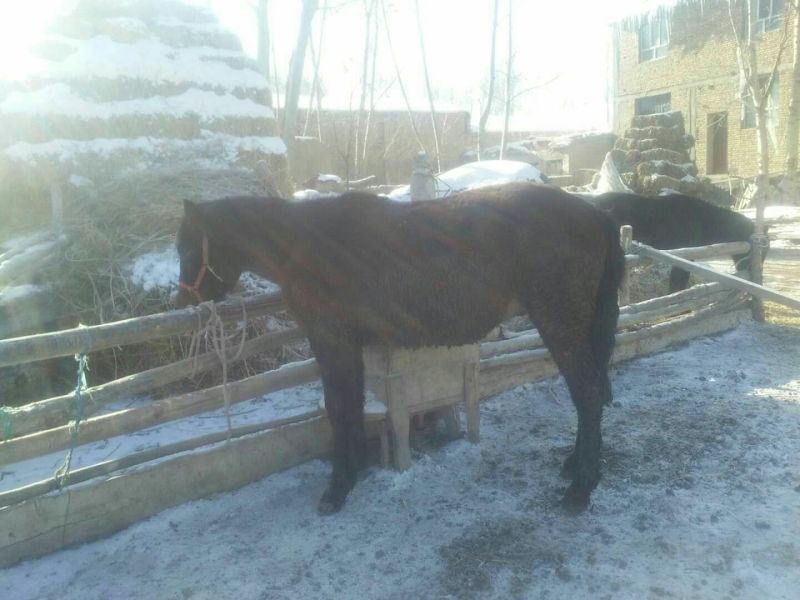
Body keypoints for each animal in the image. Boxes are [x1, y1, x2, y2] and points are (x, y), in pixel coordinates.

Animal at [175, 182, 625, 514]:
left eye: (186, 246)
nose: (181, 302)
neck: (306, 245)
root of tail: (597, 215)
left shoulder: (331, 341)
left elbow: (338, 408)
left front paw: (337, 488)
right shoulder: (350, 346)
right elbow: (352, 406)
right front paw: (353, 471)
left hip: (559, 323)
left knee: (587, 394)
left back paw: (580, 489)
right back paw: (575, 465)